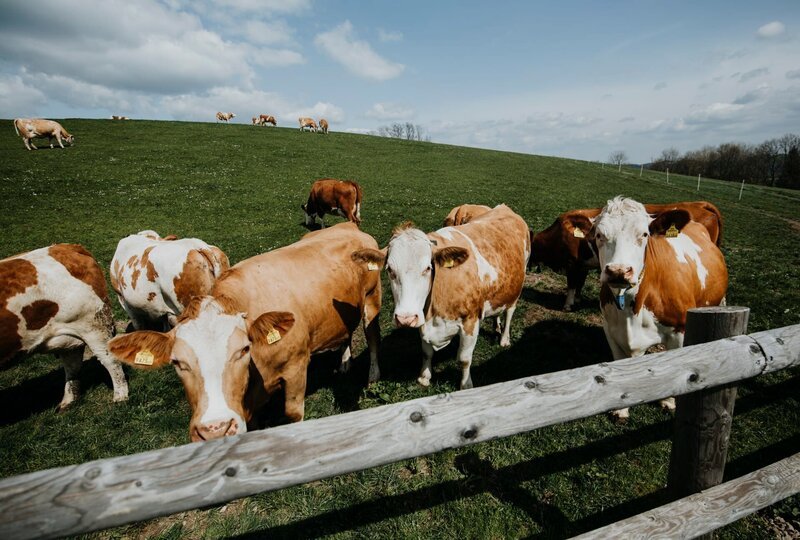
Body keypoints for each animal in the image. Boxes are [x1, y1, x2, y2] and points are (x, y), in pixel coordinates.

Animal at [0, 244, 129, 410]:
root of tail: (67, 247)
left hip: (94, 326)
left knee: (110, 361)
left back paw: (120, 397)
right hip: (68, 335)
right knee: (72, 365)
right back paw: (68, 401)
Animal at [108, 223, 382, 441]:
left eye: (243, 350)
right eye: (177, 362)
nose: (215, 430)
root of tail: (347, 225)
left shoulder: (296, 367)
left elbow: (293, 414)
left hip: (372, 299)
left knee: (372, 336)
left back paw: (373, 375)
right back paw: (344, 362)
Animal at [352, 204, 530, 389]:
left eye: (428, 268)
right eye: (390, 270)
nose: (405, 318)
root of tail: (503, 207)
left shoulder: (470, 321)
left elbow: (464, 359)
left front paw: (465, 385)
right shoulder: (423, 320)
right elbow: (426, 353)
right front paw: (424, 377)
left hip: (518, 284)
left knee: (510, 312)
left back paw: (504, 338)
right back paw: (496, 325)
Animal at [531, 201, 723, 311]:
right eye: (598, 234)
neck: (559, 232)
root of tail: (700, 204)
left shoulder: (572, 264)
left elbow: (572, 285)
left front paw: (568, 305)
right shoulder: (582, 264)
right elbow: (580, 284)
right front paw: (577, 300)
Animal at [590, 196, 728, 421]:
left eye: (644, 234)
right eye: (599, 235)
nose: (619, 271)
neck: (631, 311)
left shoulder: (680, 330)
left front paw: (669, 401)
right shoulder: (610, 330)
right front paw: (621, 410)